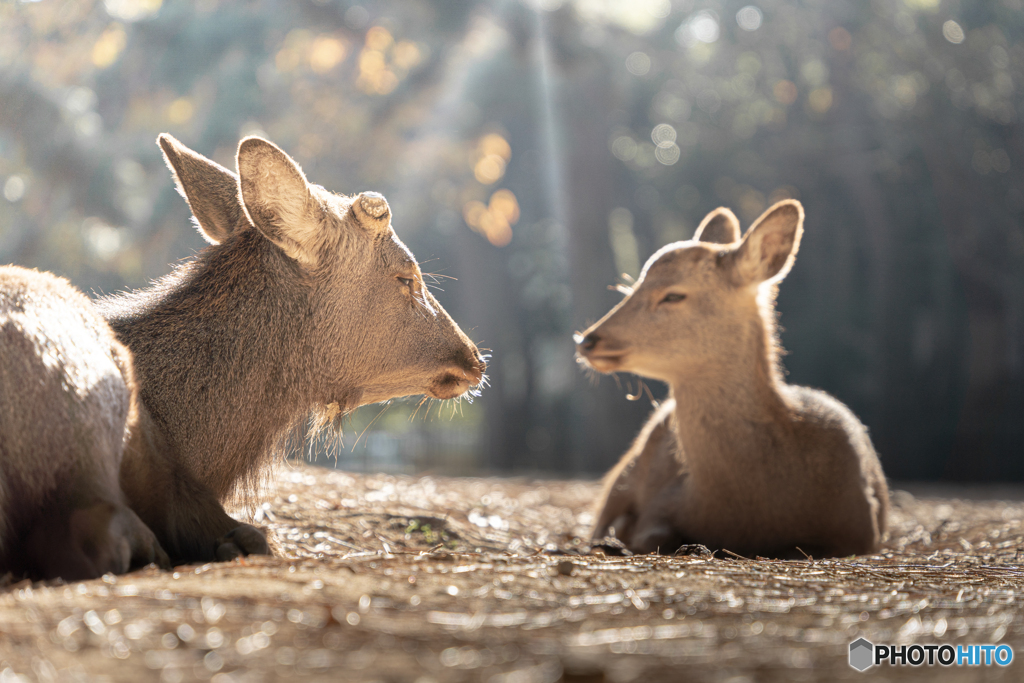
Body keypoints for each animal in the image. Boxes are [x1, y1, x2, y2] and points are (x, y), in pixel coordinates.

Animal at [577, 200, 888, 557]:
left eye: (674, 295)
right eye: (632, 287)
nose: (587, 340)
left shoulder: (862, 532)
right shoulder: (663, 502)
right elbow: (650, 533)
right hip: (625, 470)